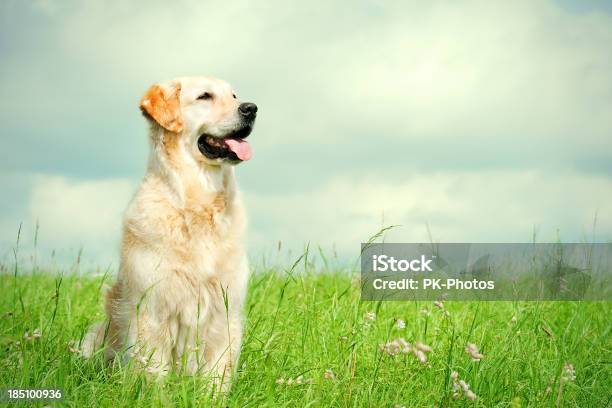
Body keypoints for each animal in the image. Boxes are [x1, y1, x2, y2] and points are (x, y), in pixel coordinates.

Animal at [81, 75, 256, 390]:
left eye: (235, 96)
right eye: (204, 96)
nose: (251, 108)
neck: (198, 203)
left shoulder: (225, 311)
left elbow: (217, 374)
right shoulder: (152, 308)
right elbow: (153, 370)